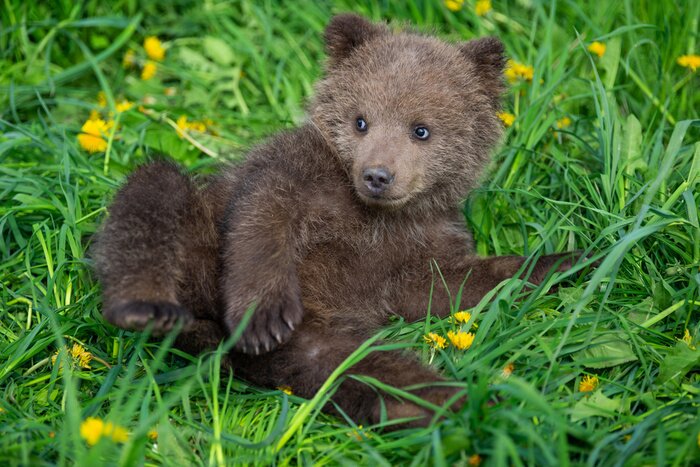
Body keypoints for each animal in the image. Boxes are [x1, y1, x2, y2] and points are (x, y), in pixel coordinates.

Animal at [93, 14, 583, 428]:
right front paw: (263, 316)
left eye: (421, 129)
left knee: (370, 370)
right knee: (156, 193)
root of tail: (212, 336)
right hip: (200, 250)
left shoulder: (419, 243)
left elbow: (455, 282)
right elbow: (261, 222)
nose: (378, 175)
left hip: (322, 342)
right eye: (360, 120)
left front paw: (571, 260)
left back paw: (467, 405)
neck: (376, 217)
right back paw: (147, 308)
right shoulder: (296, 174)